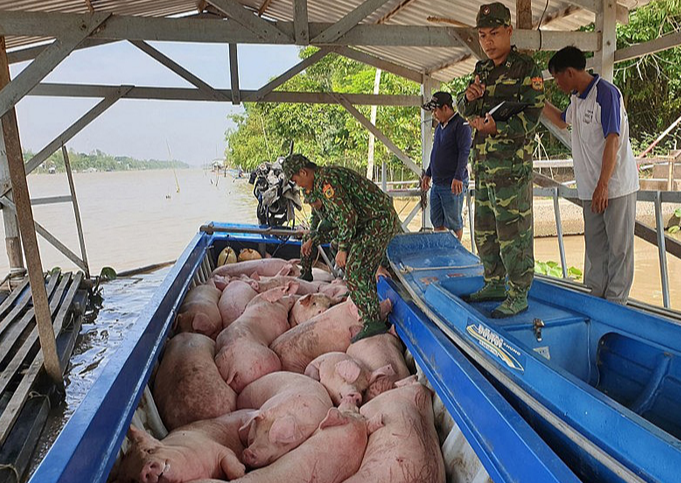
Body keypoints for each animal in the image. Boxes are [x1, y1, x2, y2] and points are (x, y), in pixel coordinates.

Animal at [115, 410, 251, 483]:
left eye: (149, 450)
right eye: (133, 480)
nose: (145, 470)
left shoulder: (218, 448)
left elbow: (231, 467)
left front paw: (243, 471)